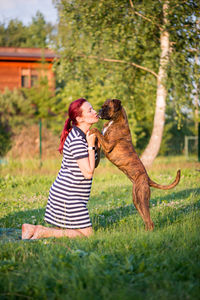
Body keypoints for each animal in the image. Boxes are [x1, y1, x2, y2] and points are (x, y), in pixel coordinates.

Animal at [90, 98, 180, 230]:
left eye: (106, 107)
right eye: (102, 106)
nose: (99, 111)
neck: (114, 121)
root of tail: (147, 178)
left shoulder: (107, 145)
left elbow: (97, 132)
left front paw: (91, 129)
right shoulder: (103, 146)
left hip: (142, 198)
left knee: (150, 221)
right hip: (136, 201)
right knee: (146, 219)